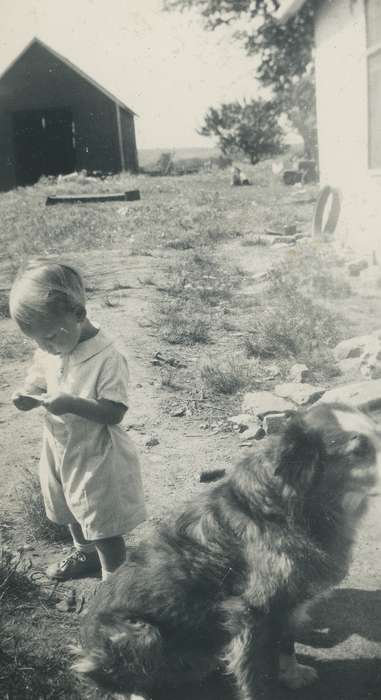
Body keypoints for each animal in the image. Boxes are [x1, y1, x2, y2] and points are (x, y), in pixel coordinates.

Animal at [72, 402, 380, 696]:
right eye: (359, 450)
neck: (287, 509)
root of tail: (84, 646)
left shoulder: (289, 597)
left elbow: (286, 640)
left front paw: (292, 674)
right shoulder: (250, 611)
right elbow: (255, 674)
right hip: (142, 633)